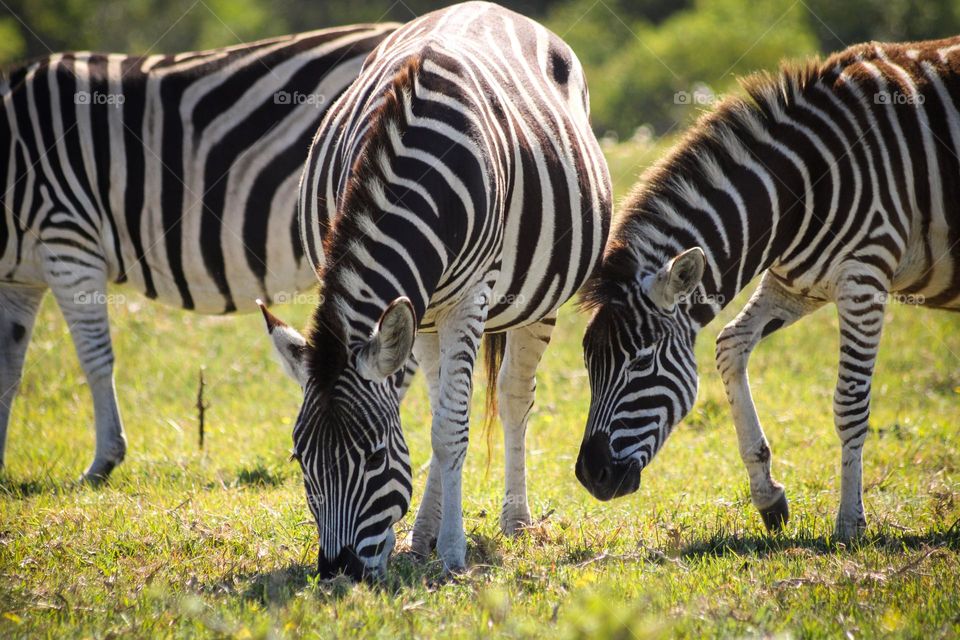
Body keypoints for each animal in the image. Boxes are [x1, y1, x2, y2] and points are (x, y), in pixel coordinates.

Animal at [262, 1, 608, 580]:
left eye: (375, 456)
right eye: (299, 459)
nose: (338, 572)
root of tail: (486, 7)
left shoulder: (470, 297)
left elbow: (451, 428)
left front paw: (452, 552)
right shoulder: (417, 303)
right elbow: (436, 418)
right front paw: (427, 537)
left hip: (536, 299)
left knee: (513, 397)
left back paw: (515, 520)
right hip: (423, 315)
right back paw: (421, 532)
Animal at [576, 38, 960, 540]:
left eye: (640, 361)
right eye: (589, 362)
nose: (590, 475)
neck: (803, 185)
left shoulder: (863, 279)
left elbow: (850, 403)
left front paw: (850, 523)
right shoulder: (797, 284)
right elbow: (729, 344)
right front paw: (769, 497)